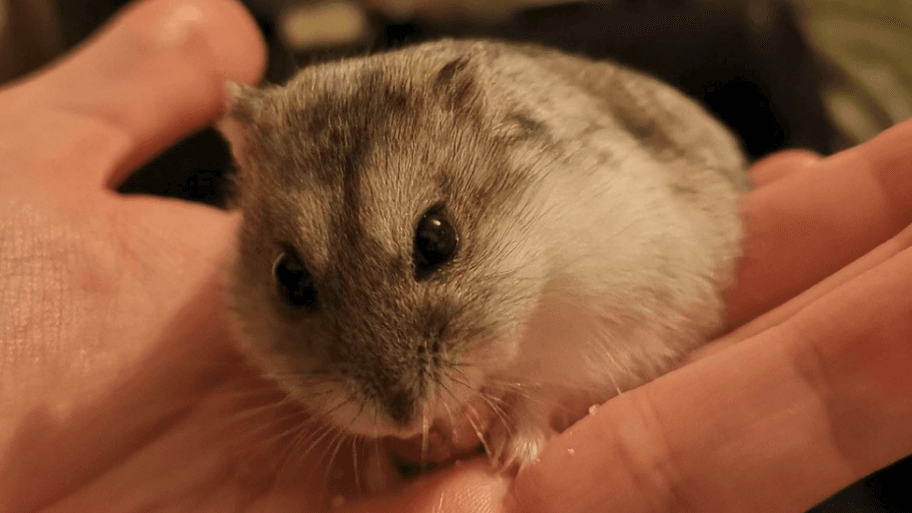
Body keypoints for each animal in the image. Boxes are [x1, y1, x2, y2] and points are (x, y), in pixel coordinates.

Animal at [218, 39, 749, 474]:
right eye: (288, 278)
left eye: (436, 238)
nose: (405, 419)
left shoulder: (626, 326)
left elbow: (544, 392)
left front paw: (512, 459)